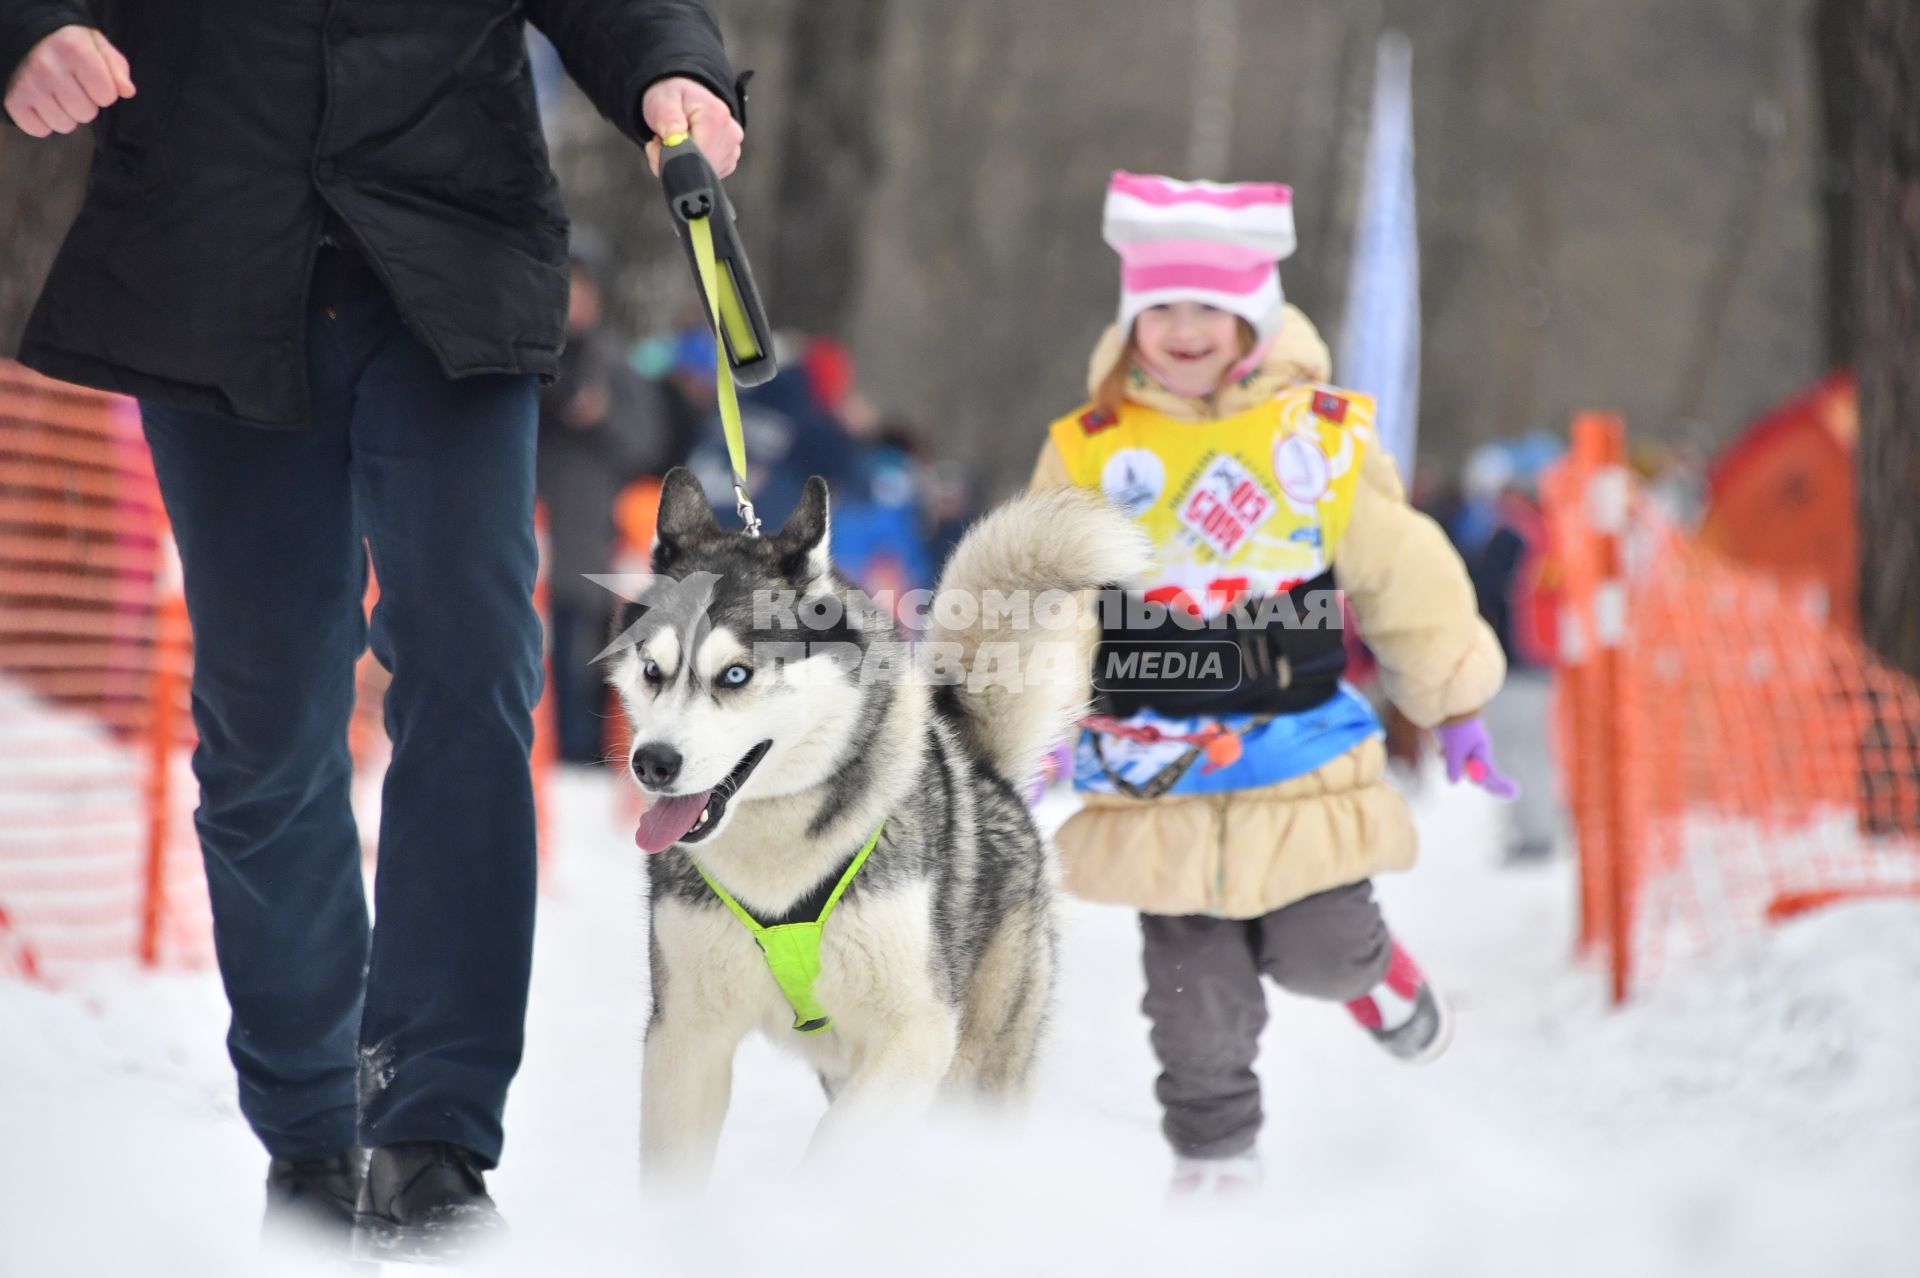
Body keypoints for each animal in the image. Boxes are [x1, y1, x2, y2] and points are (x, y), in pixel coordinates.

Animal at [606, 462, 1136, 1182]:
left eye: (736, 674)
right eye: (653, 671)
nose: (652, 763)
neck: (778, 859)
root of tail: (980, 767)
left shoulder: (918, 1029)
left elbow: (834, 1150)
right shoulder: (685, 1036)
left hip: (975, 1067)